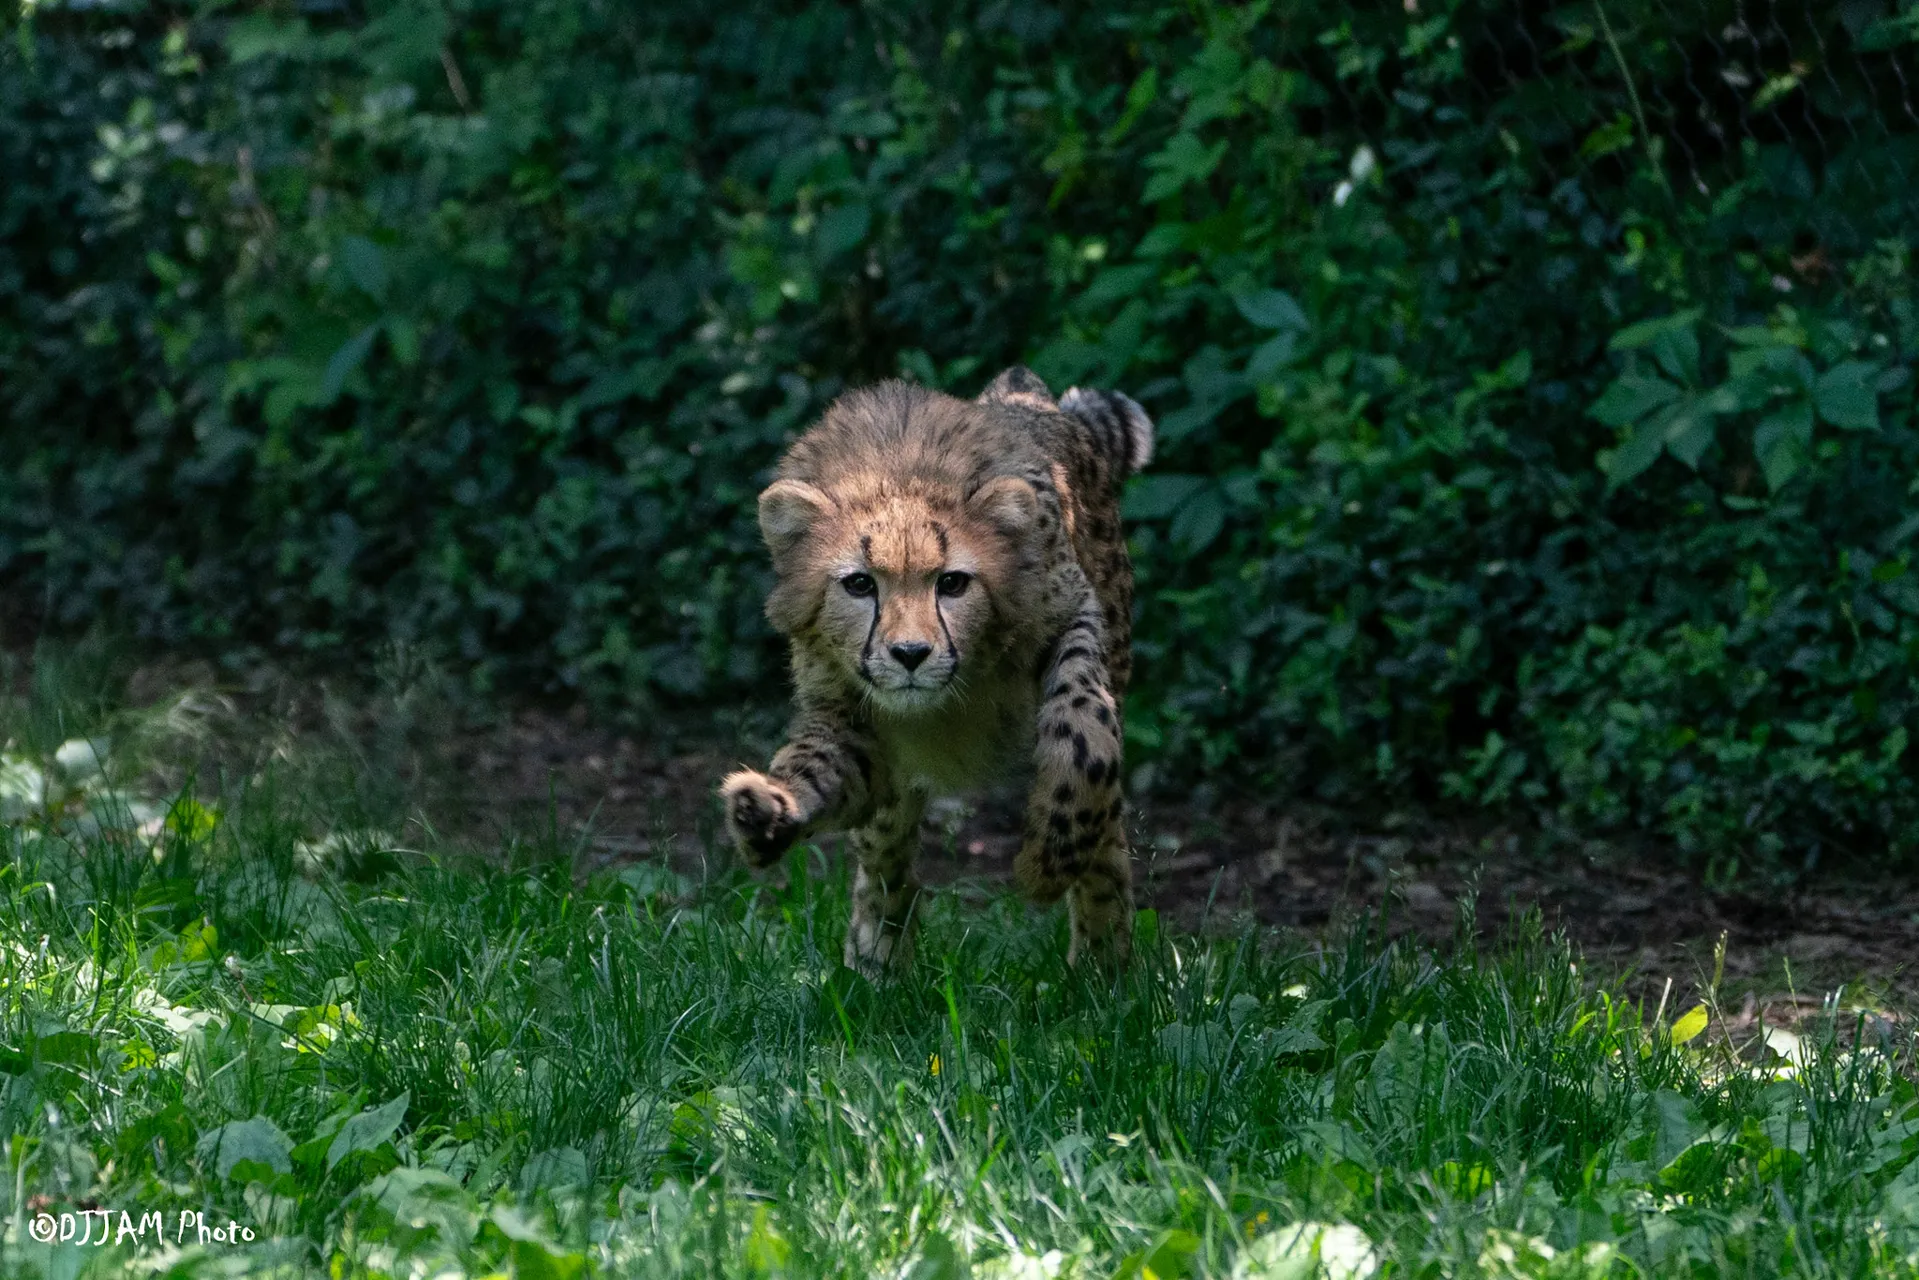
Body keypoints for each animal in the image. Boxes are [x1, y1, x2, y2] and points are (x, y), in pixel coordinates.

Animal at [717, 365, 1154, 975]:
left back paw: (1101, 969)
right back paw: (875, 962)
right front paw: (768, 811)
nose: (910, 654)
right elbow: (818, 769)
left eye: (953, 582)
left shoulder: (1072, 613)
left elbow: (1083, 728)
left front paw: (1050, 860)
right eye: (860, 584)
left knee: (1107, 834)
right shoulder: (853, 721)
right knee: (886, 858)